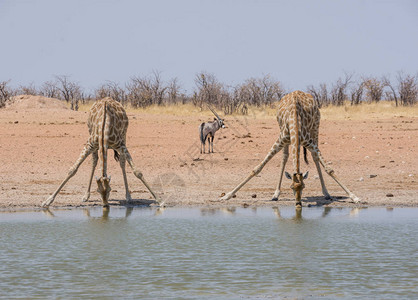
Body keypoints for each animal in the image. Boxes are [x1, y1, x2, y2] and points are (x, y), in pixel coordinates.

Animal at [219, 90, 360, 207]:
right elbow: (257, 168)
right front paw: (227, 196)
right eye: (292, 187)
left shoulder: (309, 142)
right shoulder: (281, 139)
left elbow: (329, 169)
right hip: (283, 134)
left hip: (316, 126)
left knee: (314, 158)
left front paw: (354, 197)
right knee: (285, 157)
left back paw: (326, 193)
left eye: (303, 187)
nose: (298, 204)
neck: (295, 122)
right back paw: (276, 194)